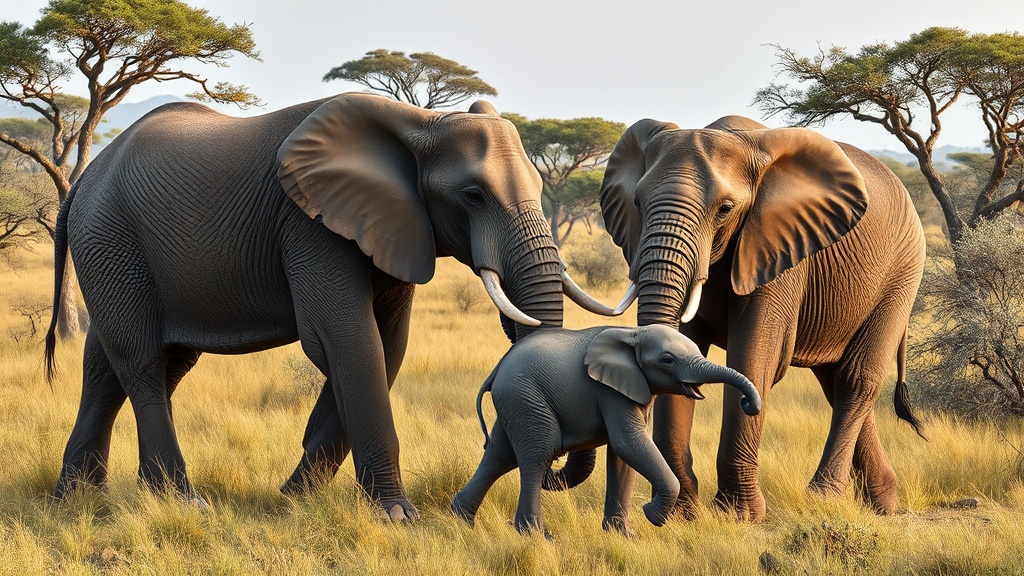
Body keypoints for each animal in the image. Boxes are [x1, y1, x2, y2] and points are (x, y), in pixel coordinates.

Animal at [42, 93, 619, 519]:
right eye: (473, 196)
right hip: (111, 240)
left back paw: (79, 497)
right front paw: (396, 517)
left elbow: (387, 346)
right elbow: (348, 340)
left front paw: (295, 497)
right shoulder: (310, 226)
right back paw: (181, 502)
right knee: (142, 361)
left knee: (121, 363)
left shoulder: (390, 226)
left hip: (117, 252)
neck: (419, 124)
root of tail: (81, 183)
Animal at [450, 324, 761, 535]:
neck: (634, 332)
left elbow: (623, 456)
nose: (748, 403)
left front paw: (625, 537)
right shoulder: (611, 391)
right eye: (667, 360)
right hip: (525, 397)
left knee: (500, 455)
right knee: (537, 456)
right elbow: (629, 444)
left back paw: (461, 521)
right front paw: (652, 516)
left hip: (515, 400)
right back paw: (538, 537)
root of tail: (496, 369)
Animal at [594, 115, 926, 522]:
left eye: (725, 209)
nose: (646, 511)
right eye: (638, 203)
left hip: (902, 273)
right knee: (834, 380)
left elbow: (754, 356)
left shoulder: (781, 249)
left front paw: (737, 516)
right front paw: (682, 516)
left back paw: (823, 499)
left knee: (855, 378)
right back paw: (882, 503)